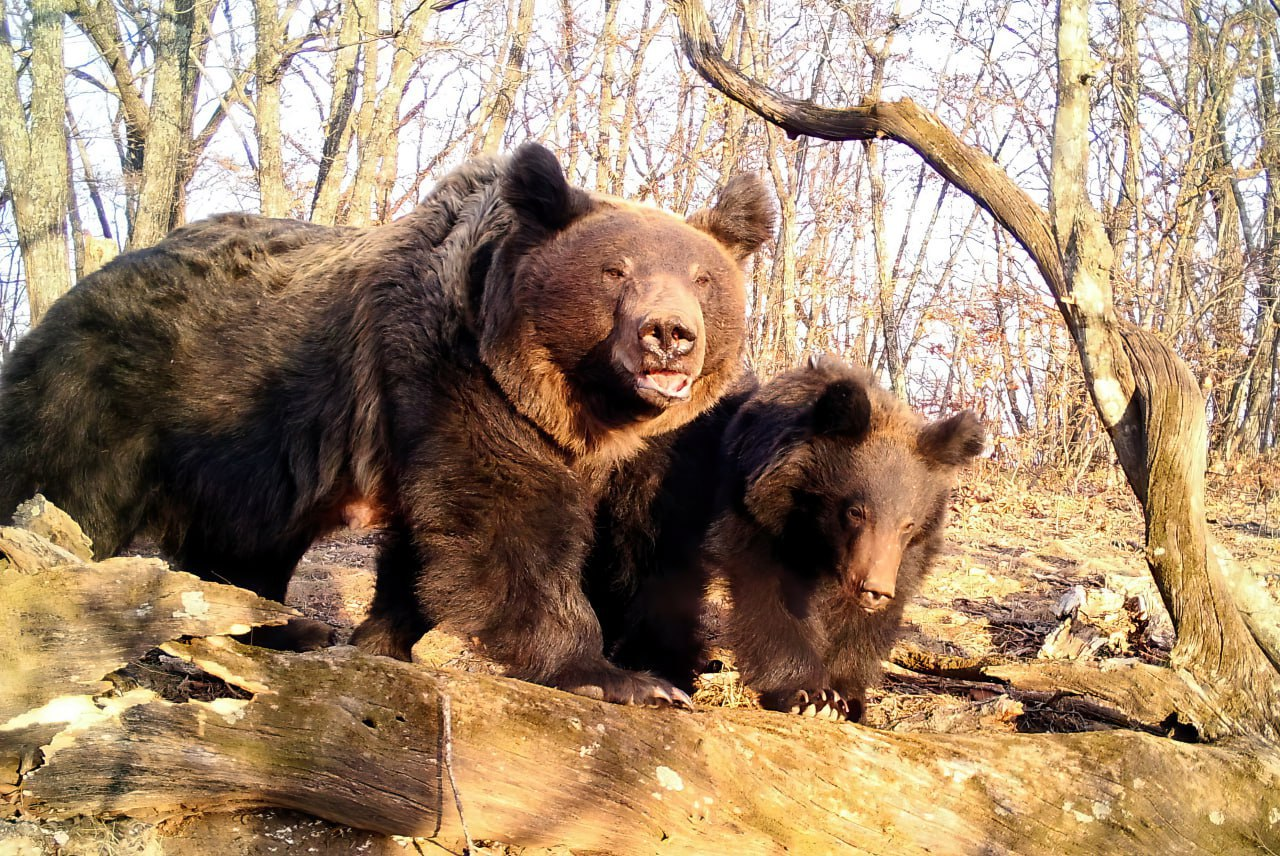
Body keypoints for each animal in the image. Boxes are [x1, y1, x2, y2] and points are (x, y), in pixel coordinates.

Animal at [0, 143, 768, 706]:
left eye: (703, 278)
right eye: (614, 270)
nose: (669, 336)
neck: (587, 411)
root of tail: (81, 287)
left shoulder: (658, 450)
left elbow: (647, 542)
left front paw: (665, 660)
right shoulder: (463, 384)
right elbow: (507, 526)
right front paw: (610, 675)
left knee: (245, 545)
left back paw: (280, 627)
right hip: (118, 393)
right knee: (61, 485)